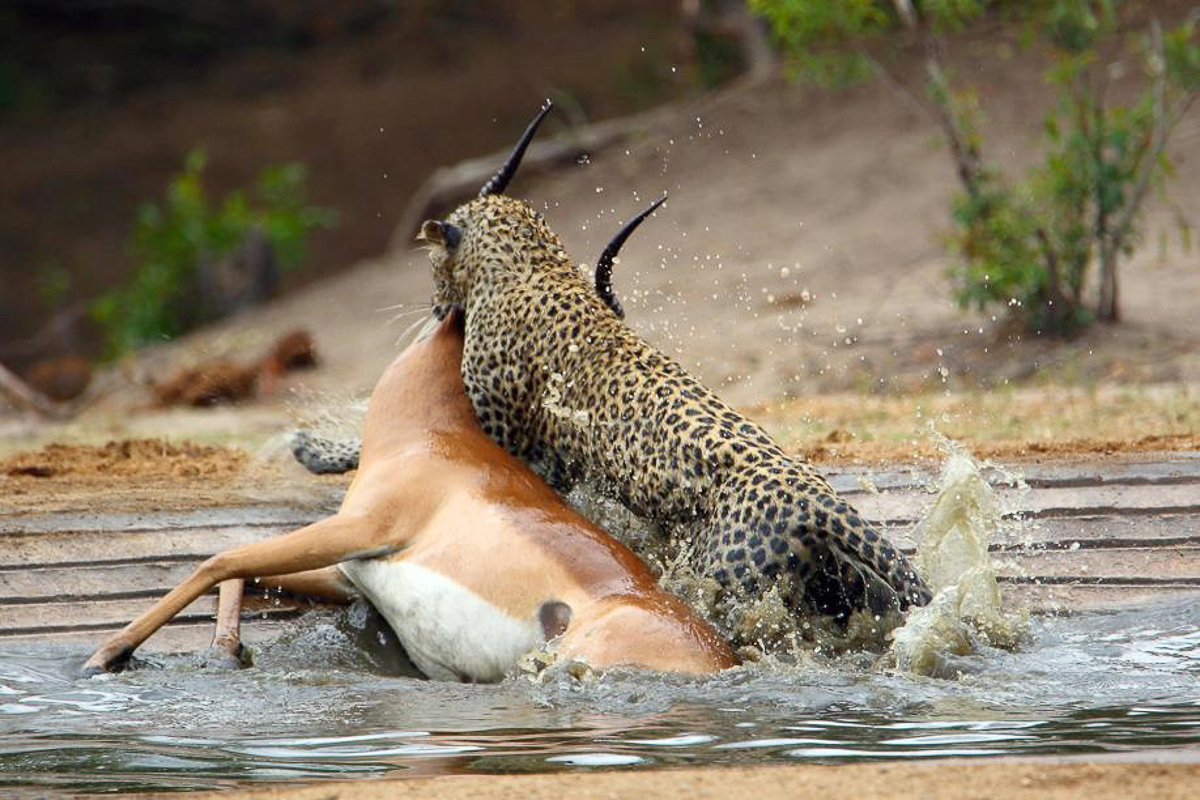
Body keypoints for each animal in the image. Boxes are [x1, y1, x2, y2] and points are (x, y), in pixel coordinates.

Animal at [82, 310, 735, 679]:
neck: (428, 433)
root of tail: (723, 659)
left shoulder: (363, 528)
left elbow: (218, 558)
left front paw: (104, 657)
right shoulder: (352, 570)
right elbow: (239, 569)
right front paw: (225, 653)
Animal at [295, 102, 931, 640]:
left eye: (432, 262)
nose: (431, 306)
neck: (534, 267)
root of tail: (820, 501)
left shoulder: (495, 428)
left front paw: (314, 448)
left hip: (730, 585)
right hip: (838, 591)